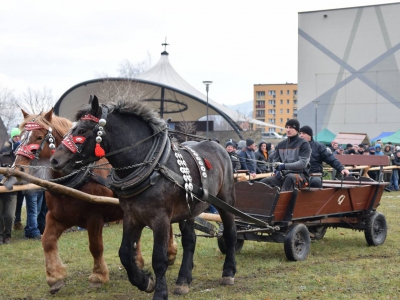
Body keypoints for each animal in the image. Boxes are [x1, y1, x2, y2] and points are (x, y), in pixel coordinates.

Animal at [13, 109, 177, 294]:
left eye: (39, 137)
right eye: (21, 135)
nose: (18, 168)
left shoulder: (95, 217)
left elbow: (95, 246)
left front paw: (98, 276)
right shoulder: (57, 217)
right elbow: (47, 241)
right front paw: (55, 277)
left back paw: (170, 253)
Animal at [50, 96, 238, 300]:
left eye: (82, 130)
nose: (55, 160)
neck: (153, 166)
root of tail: (218, 145)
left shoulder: (160, 219)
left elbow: (159, 259)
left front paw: (160, 292)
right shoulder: (132, 216)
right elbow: (125, 253)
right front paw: (145, 282)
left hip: (226, 200)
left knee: (230, 233)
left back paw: (228, 272)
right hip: (189, 209)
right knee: (190, 241)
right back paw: (183, 280)